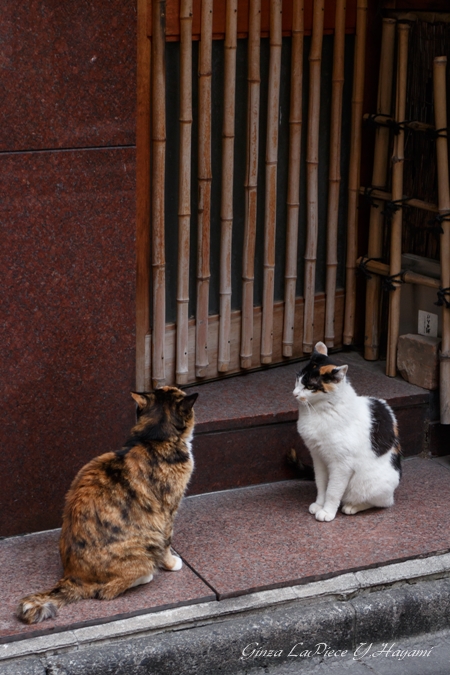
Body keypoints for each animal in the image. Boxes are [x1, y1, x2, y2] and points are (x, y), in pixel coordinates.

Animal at [17, 388, 197, 624]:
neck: (153, 439)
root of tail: (73, 576)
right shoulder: (168, 511)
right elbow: (167, 542)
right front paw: (171, 563)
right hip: (146, 542)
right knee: (106, 592)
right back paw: (146, 575)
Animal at [296, 344, 400, 524]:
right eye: (297, 380)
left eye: (309, 387)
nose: (294, 394)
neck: (318, 411)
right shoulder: (318, 457)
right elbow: (321, 484)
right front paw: (319, 504)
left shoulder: (341, 464)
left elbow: (332, 491)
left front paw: (327, 511)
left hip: (370, 483)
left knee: (382, 503)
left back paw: (352, 506)